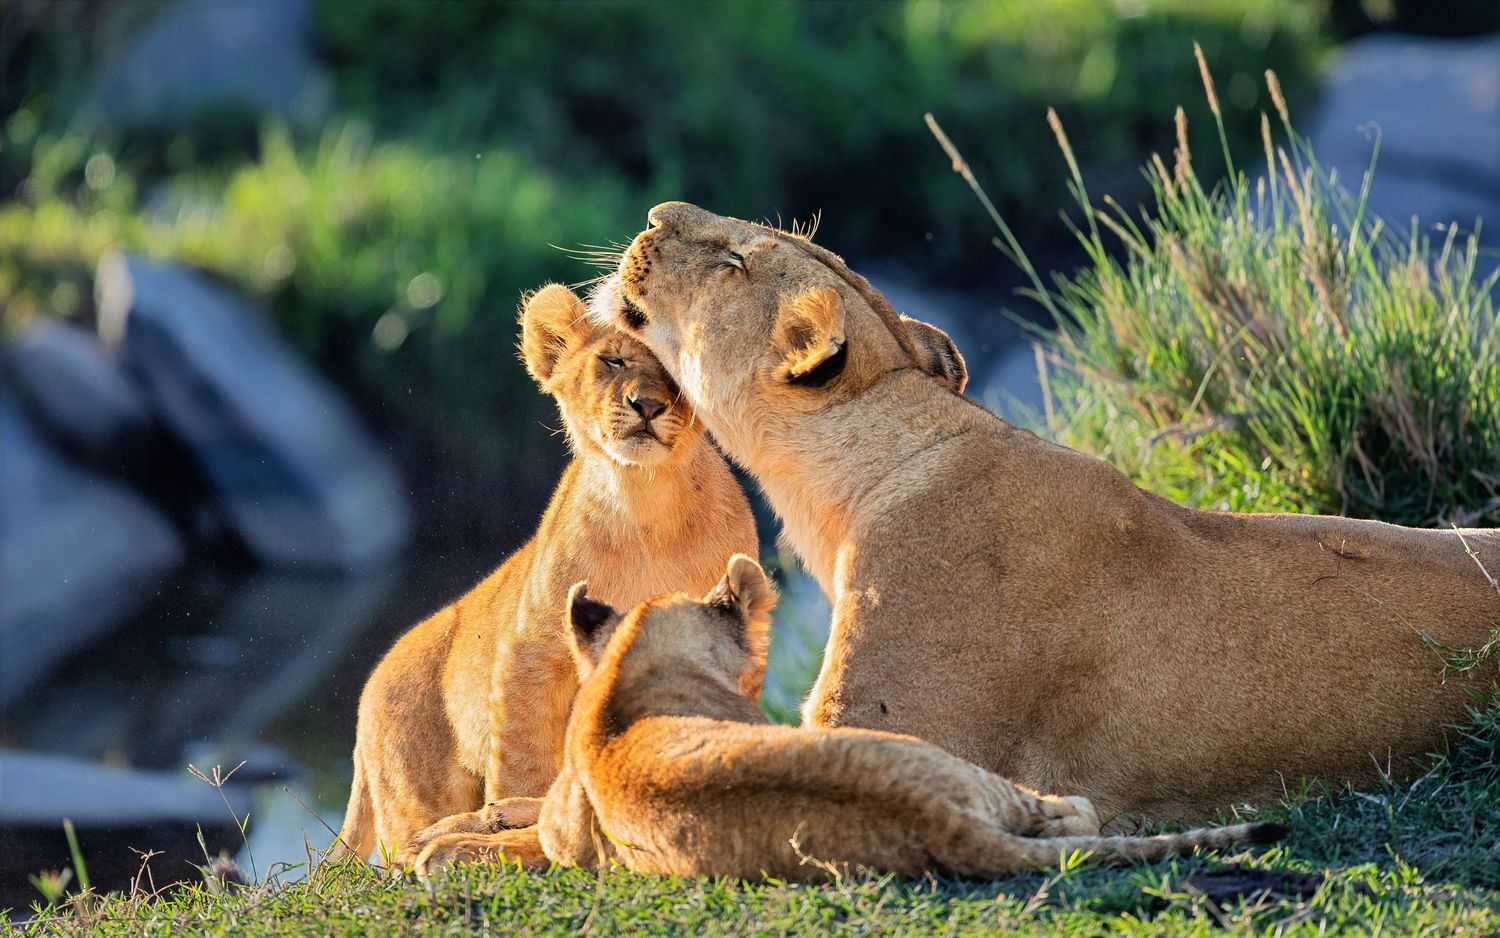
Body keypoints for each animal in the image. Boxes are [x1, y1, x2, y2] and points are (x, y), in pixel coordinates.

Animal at [331, 284, 758, 867]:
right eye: (614, 361)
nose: (647, 405)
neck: (645, 503)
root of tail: (369, 688)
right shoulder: (533, 648)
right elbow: (527, 757)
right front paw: (509, 828)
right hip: (410, 784)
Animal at [414, 555, 1285, 880]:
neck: (628, 663)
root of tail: (931, 817)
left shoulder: (571, 825)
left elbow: (524, 818)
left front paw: (442, 839)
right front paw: (446, 842)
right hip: (955, 765)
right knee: (1074, 816)